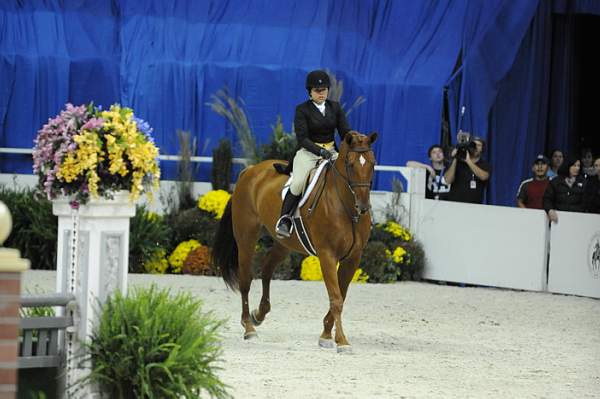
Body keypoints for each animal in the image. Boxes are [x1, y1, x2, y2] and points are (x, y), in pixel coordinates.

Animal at [212, 132, 376, 354]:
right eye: (350, 165)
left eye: (372, 164)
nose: (363, 207)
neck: (346, 208)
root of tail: (250, 170)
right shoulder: (327, 255)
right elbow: (336, 299)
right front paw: (342, 341)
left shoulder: (353, 258)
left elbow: (341, 295)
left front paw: (326, 335)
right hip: (246, 237)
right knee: (245, 280)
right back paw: (248, 328)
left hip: (284, 244)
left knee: (267, 269)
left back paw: (259, 314)